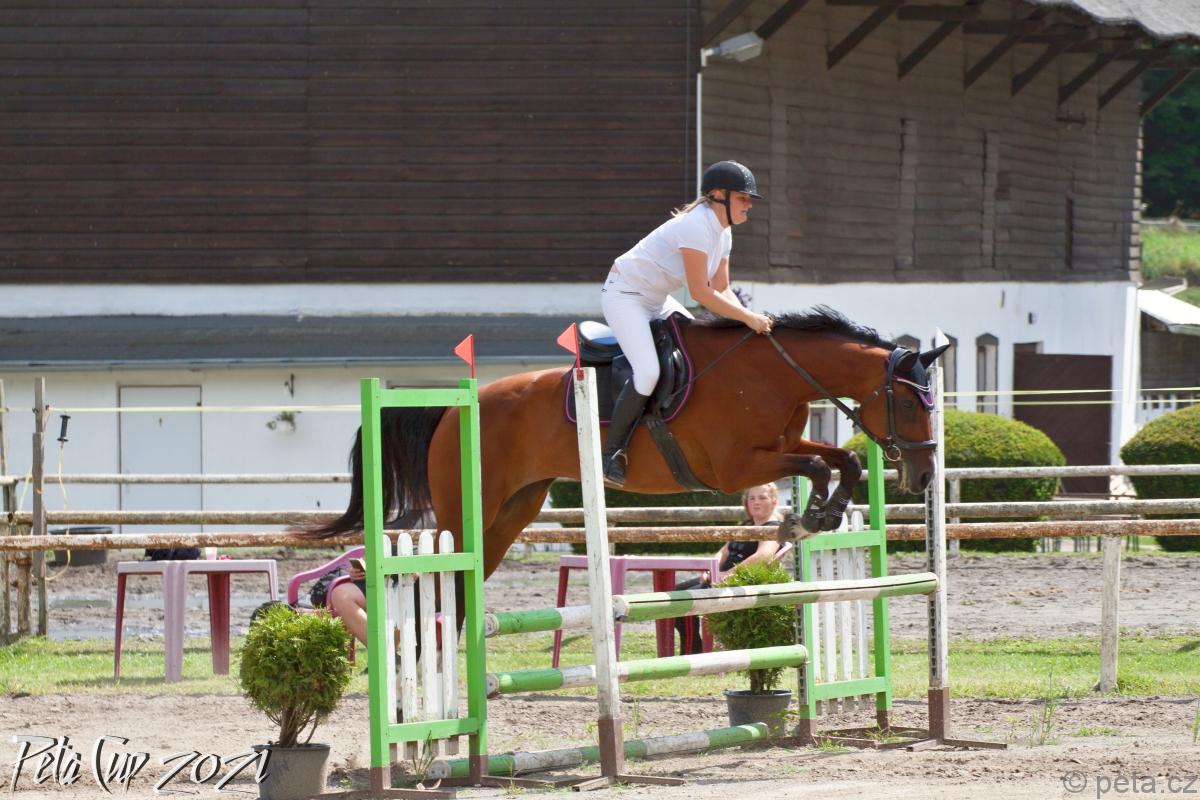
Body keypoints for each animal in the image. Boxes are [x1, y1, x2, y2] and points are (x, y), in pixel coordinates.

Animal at [312, 306, 948, 591]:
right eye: (910, 401)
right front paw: (809, 516)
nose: (923, 476)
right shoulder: (733, 466)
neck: (772, 372)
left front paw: (824, 512)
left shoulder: (780, 444)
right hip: (467, 510)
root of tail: (455, 408)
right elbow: (817, 463)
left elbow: (841, 459)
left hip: (514, 509)